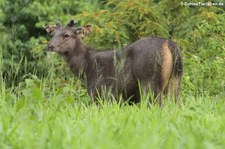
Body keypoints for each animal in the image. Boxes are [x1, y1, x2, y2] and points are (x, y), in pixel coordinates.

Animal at [44, 19, 182, 106]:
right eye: (53, 34)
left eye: (66, 35)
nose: (49, 46)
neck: (85, 67)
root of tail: (169, 44)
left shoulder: (101, 94)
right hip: (175, 82)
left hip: (150, 83)